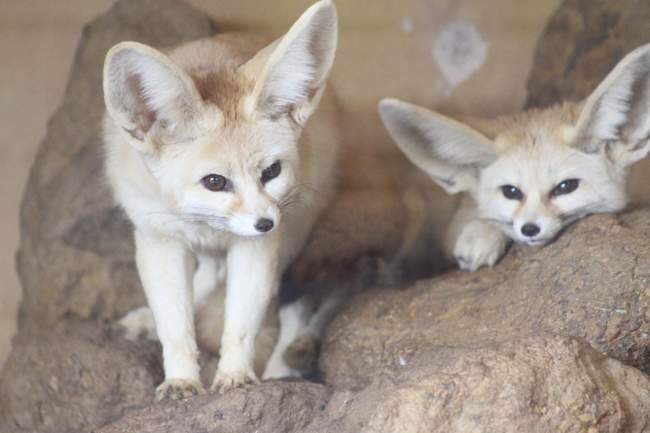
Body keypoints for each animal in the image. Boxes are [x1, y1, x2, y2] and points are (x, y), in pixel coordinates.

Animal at [102, 0, 340, 400]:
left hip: (292, 237)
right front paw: (180, 380)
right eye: (214, 182)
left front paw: (235, 377)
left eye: (272, 171)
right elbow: (175, 327)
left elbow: (241, 324)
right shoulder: (159, 239)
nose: (265, 223)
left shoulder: (257, 248)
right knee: (208, 276)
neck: (207, 225)